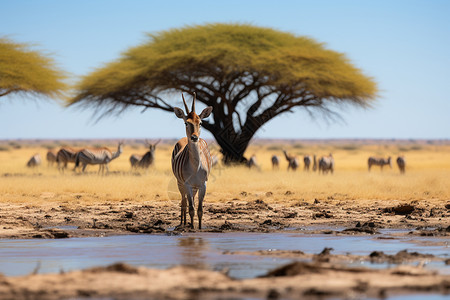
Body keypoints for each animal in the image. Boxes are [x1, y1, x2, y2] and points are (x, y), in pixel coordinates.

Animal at [172, 92, 214, 229]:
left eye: (200, 122)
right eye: (186, 123)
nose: (194, 137)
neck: (195, 167)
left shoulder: (203, 184)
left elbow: (199, 209)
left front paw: (199, 227)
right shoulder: (187, 184)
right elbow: (190, 208)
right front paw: (191, 227)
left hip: (195, 187)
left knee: (190, 203)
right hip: (180, 183)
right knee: (183, 202)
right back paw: (183, 223)